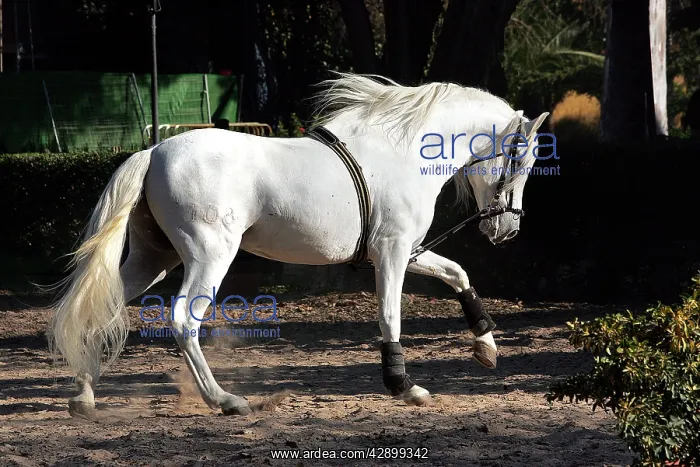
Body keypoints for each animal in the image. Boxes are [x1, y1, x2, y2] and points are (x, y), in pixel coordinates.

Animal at [48, 73, 549, 418]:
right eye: (522, 161)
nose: (507, 230)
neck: (402, 152)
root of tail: (153, 152)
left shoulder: (408, 249)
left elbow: (458, 274)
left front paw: (486, 346)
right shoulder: (391, 252)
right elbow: (390, 315)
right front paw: (404, 386)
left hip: (154, 258)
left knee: (104, 305)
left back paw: (84, 398)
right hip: (210, 255)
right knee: (183, 320)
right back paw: (226, 400)